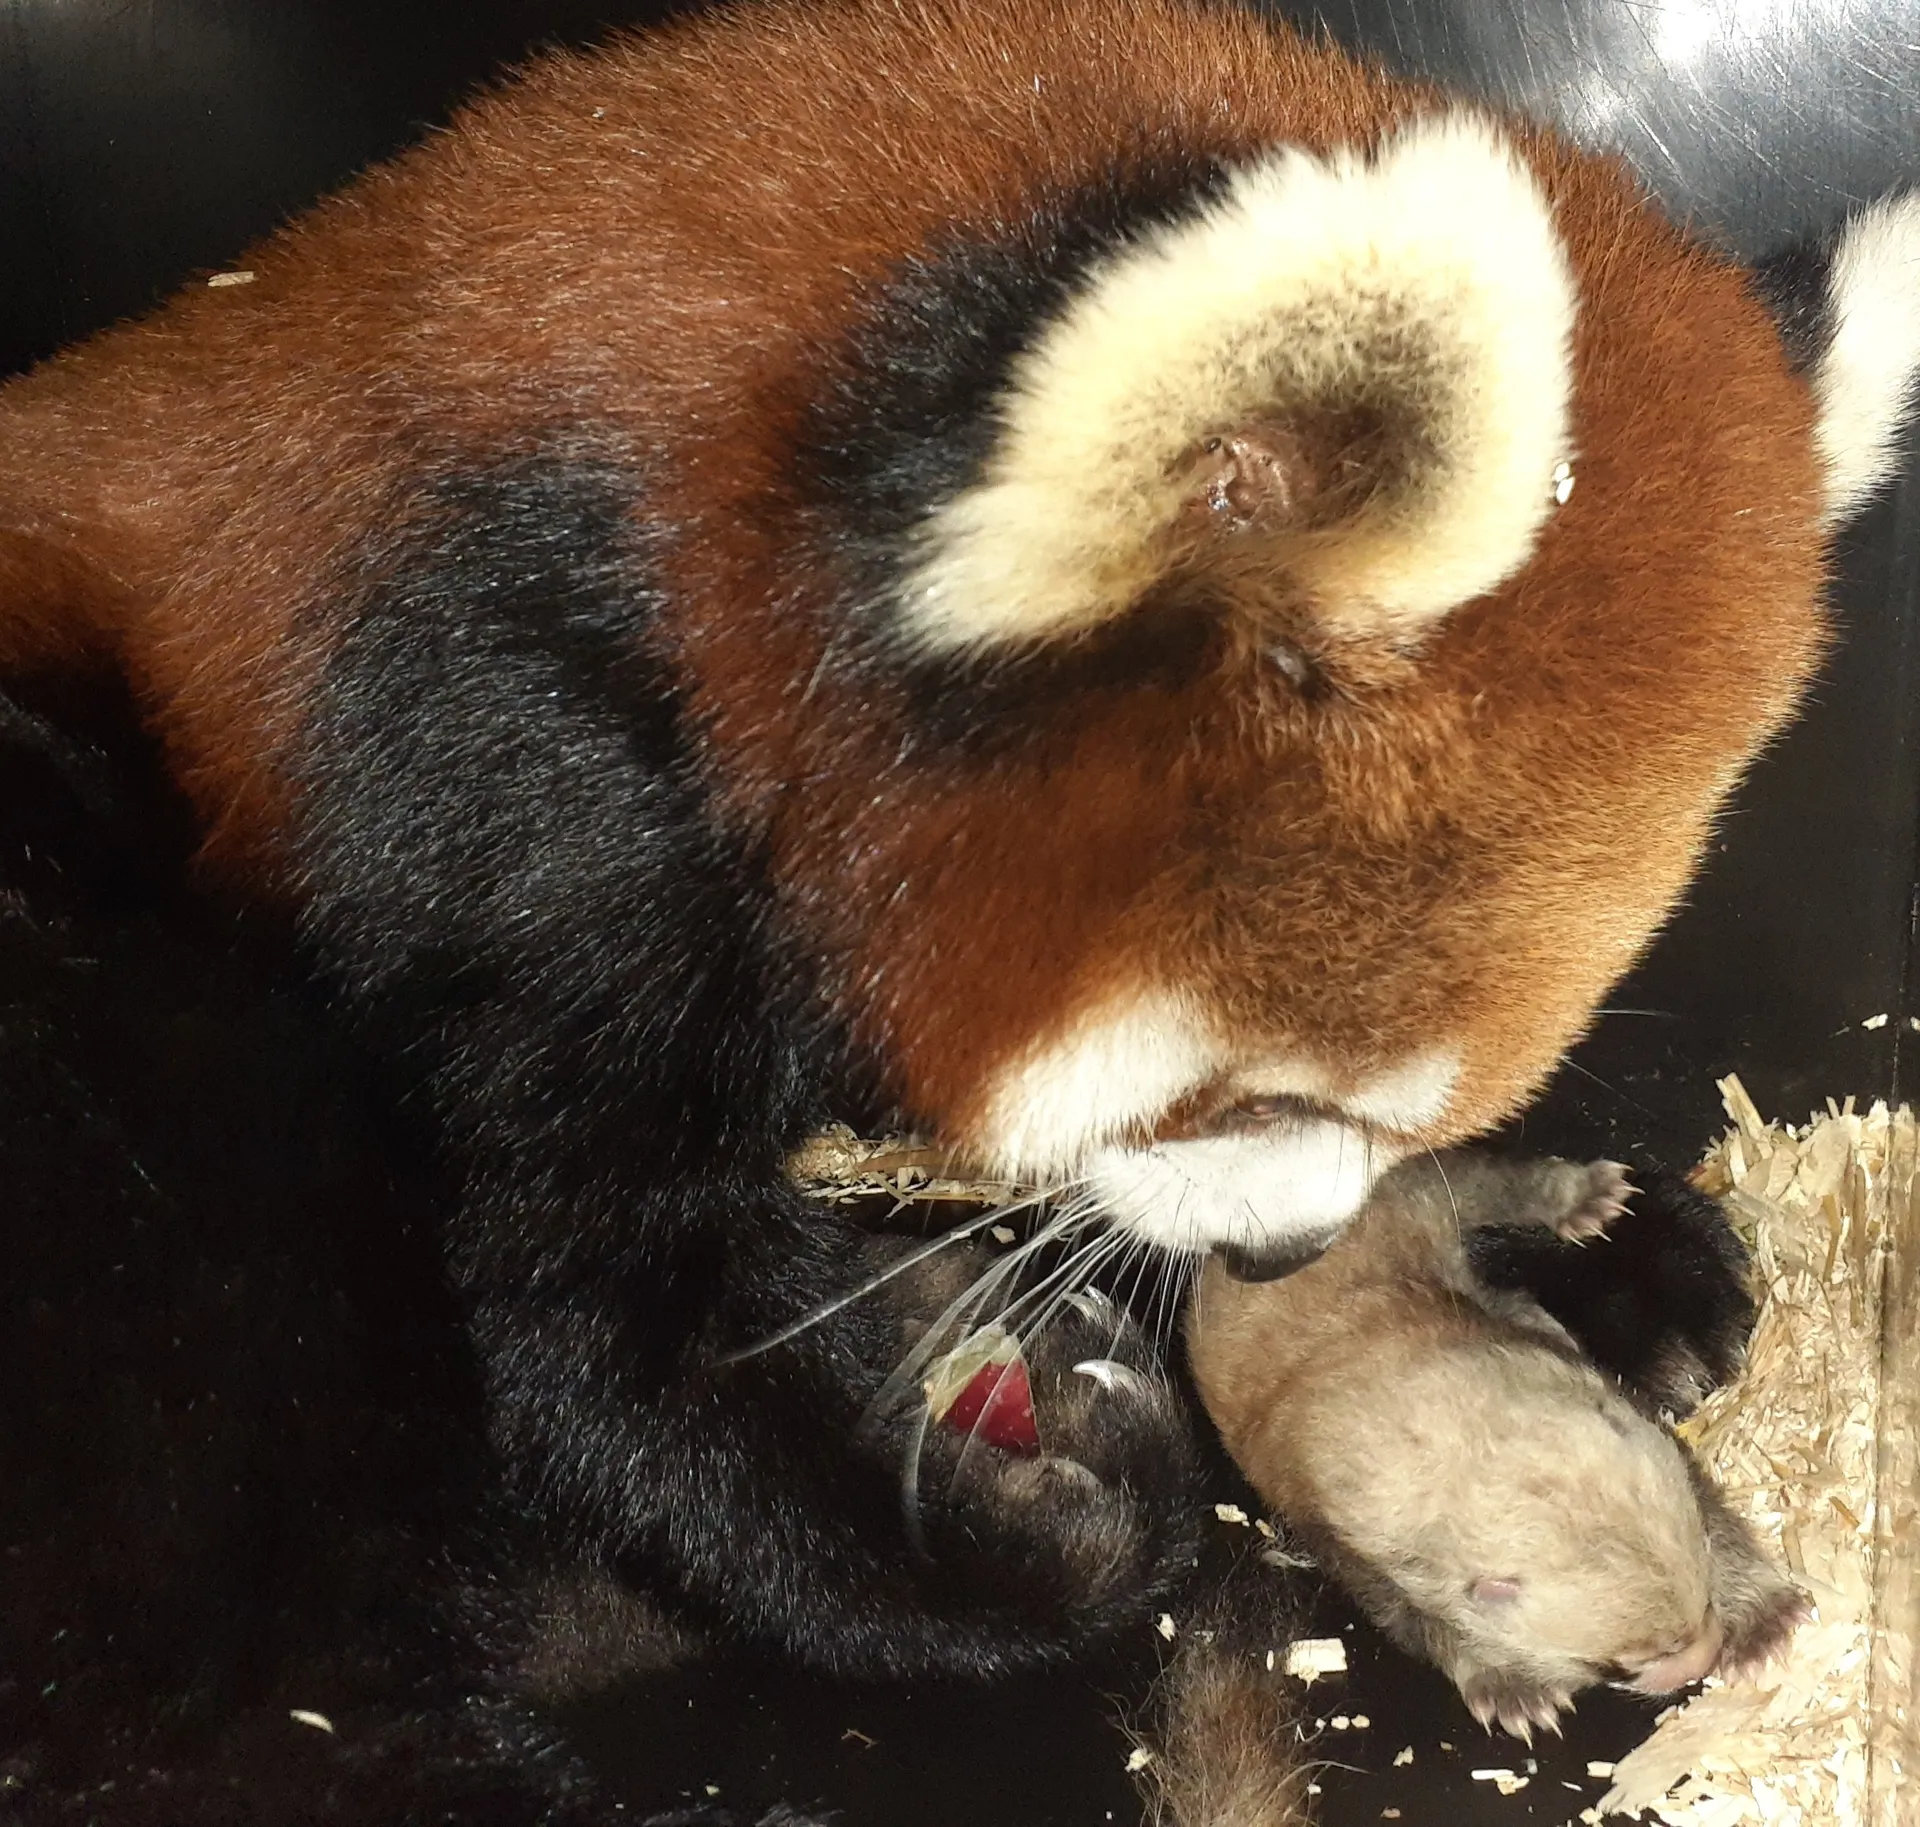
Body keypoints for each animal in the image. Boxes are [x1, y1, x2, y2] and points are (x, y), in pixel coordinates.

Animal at [1, 0, 1916, 1819]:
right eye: (1257, 1092)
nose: (1284, 1253)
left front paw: (1615, 1248)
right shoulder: (508, 772)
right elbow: (592, 1312)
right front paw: (986, 1546)